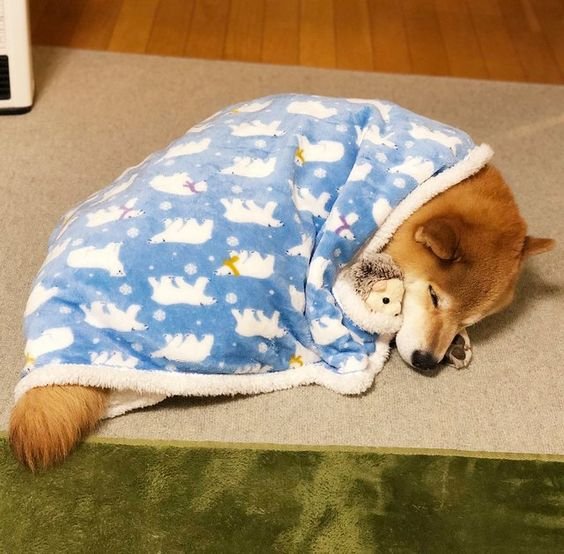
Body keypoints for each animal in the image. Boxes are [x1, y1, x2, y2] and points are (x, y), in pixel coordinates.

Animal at [9, 97, 556, 468]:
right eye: (434, 295)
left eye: (471, 317)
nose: (426, 362)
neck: (426, 185)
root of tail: (47, 347)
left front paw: (458, 344)